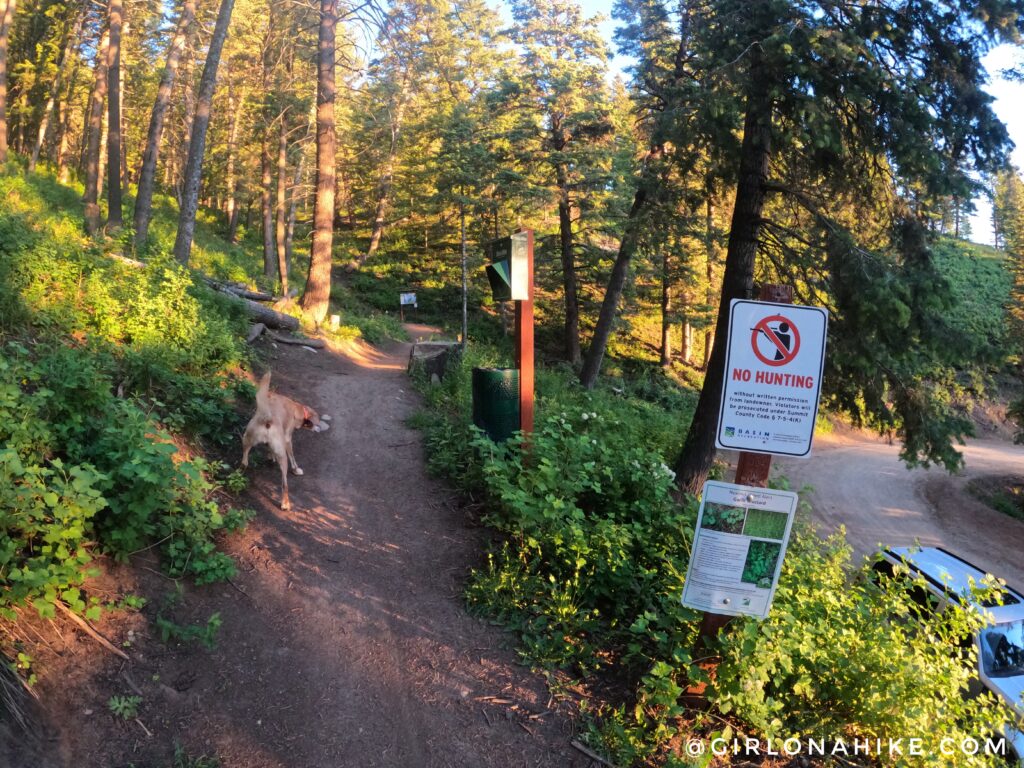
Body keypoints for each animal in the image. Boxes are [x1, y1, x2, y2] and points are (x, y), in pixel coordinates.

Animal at [239, 372, 327, 512]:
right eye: (317, 422)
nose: (319, 429)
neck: (297, 408)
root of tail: (267, 419)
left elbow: (269, 449)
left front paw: (271, 457)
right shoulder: (287, 440)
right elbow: (293, 458)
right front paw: (296, 469)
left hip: (246, 439)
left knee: (244, 462)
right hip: (283, 457)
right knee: (284, 484)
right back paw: (285, 504)